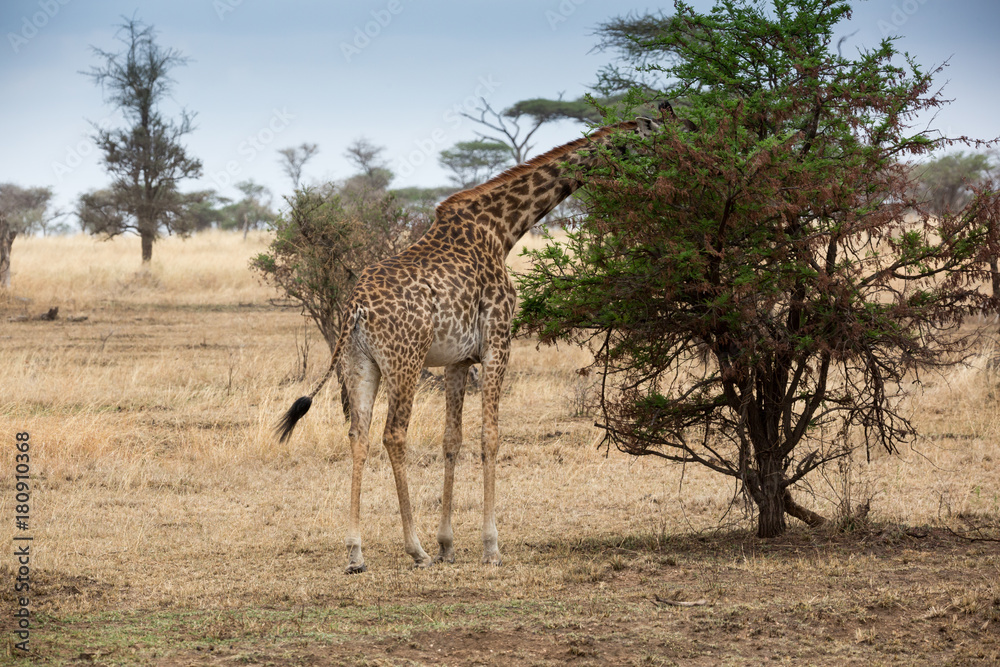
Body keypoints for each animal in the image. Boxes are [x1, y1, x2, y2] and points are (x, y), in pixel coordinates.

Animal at [276, 113, 663, 573]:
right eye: (648, 139)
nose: (666, 169)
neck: (501, 230)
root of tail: (355, 307)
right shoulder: (498, 343)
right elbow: (490, 436)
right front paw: (490, 546)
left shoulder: (457, 361)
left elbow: (452, 440)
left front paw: (448, 544)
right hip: (405, 362)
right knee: (394, 435)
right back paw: (415, 549)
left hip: (359, 364)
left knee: (358, 435)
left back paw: (356, 552)